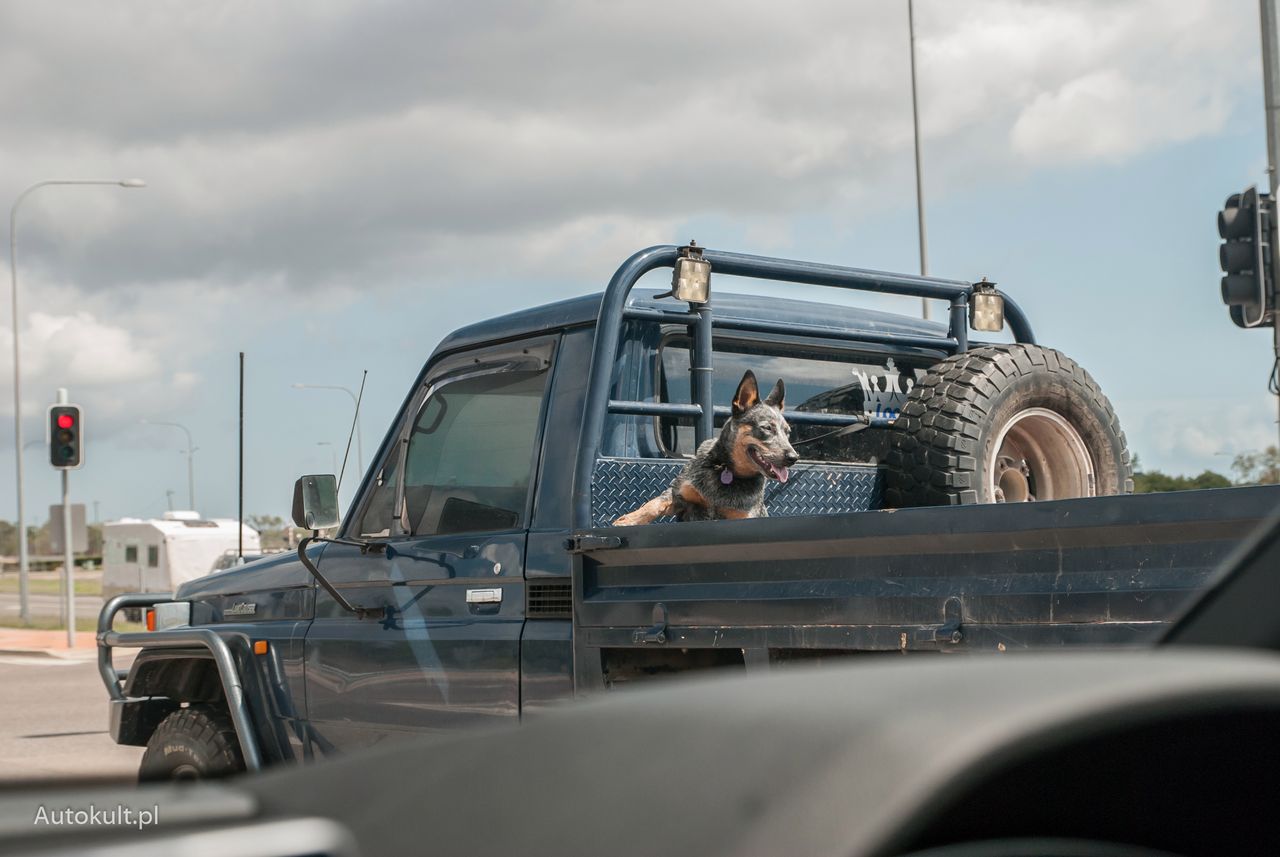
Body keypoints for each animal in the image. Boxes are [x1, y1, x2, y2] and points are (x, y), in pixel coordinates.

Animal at [611, 368, 798, 524]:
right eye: (767, 428)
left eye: (788, 432)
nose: (793, 457)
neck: (729, 473)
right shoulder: (679, 493)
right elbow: (653, 503)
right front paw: (629, 520)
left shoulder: (742, 517)